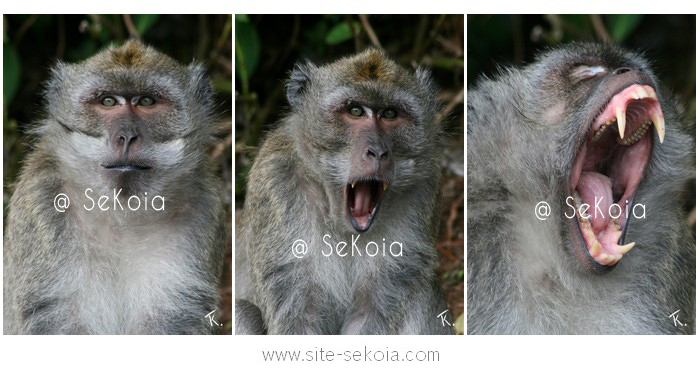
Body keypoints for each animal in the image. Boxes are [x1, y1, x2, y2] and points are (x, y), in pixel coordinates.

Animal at [2, 40, 226, 334]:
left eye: (146, 101)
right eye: (108, 101)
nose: (127, 136)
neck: (122, 214)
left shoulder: (201, 210)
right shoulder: (41, 202)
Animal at [235, 48, 454, 336]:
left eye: (390, 114)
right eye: (355, 110)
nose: (378, 152)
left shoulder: (422, 190)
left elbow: (372, 310)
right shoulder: (276, 183)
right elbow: (299, 316)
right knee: (241, 312)